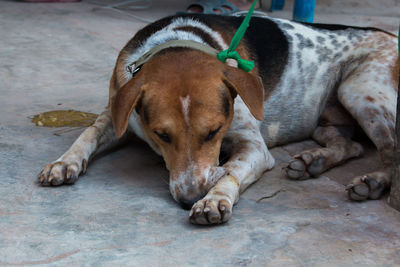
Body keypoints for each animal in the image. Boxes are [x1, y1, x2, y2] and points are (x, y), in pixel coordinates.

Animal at [36, 13, 396, 225]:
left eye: (214, 132)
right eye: (161, 135)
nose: (189, 199)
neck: (179, 40)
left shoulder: (254, 147)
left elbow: (232, 169)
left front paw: (214, 199)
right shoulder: (118, 112)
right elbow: (89, 133)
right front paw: (64, 162)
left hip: (360, 89)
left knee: (390, 151)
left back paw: (374, 183)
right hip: (330, 119)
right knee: (351, 147)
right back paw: (314, 162)